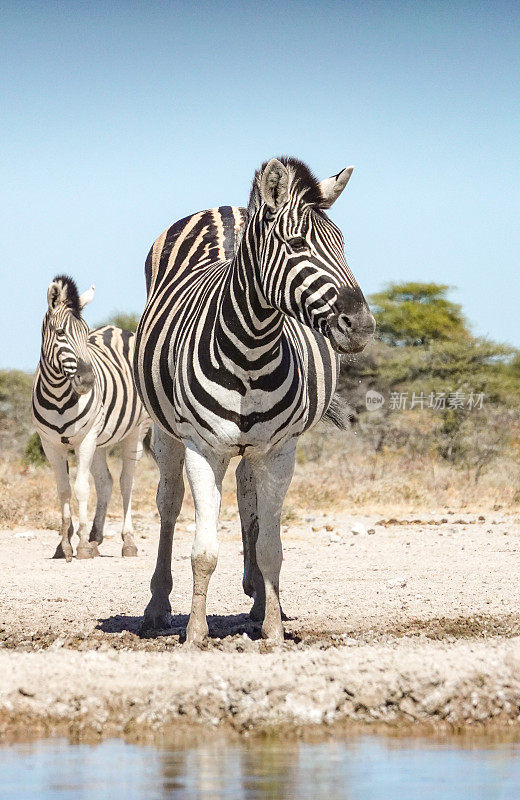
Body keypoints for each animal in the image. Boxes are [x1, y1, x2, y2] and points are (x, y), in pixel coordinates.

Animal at [33, 278, 150, 560]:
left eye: (86, 334)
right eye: (60, 333)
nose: (87, 381)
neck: (58, 394)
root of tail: (118, 329)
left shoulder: (84, 440)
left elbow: (81, 488)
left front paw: (82, 545)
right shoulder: (50, 444)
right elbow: (64, 490)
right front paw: (64, 544)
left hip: (135, 432)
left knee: (126, 482)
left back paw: (127, 542)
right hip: (100, 440)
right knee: (106, 482)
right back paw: (97, 537)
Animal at [135, 156, 374, 644]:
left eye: (343, 244)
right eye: (297, 244)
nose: (361, 325)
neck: (252, 347)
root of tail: (224, 208)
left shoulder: (279, 450)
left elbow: (271, 547)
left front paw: (273, 628)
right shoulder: (203, 449)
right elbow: (204, 551)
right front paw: (196, 633)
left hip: (255, 448)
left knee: (249, 499)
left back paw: (260, 598)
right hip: (167, 433)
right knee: (168, 503)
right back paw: (158, 605)